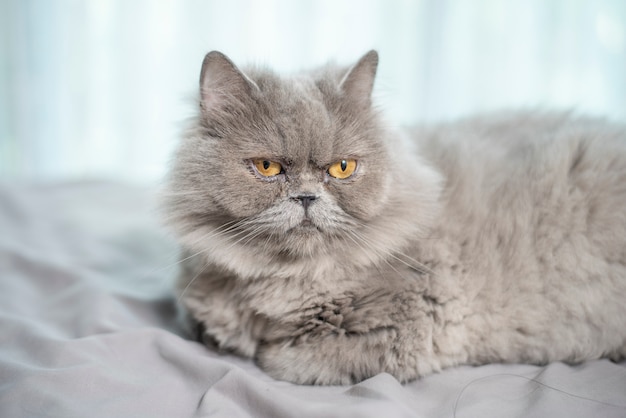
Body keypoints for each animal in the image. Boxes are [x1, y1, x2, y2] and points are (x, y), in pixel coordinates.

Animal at [162, 49, 624, 386]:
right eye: (267, 167)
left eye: (342, 168)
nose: (307, 197)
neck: (288, 277)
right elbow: (200, 324)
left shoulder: (408, 327)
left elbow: (279, 358)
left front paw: (256, 343)